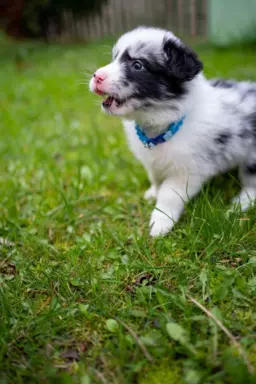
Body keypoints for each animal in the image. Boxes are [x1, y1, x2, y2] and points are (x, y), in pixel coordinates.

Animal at [89, 27, 256, 236]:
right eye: (115, 58)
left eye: (137, 65)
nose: (97, 76)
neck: (163, 122)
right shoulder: (153, 162)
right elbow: (155, 177)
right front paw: (153, 193)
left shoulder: (186, 171)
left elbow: (169, 195)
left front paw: (160, 223)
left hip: (252, 159)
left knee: (252, 186)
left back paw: (239, 205)